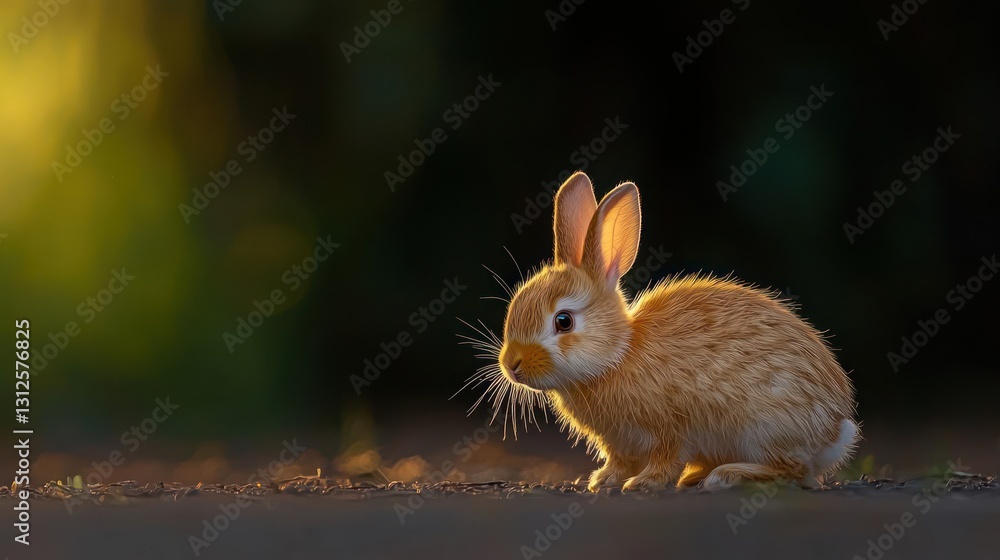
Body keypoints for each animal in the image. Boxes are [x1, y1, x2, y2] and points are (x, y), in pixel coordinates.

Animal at [489, 171, 858, 491]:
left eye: (563, 321)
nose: (512, 365)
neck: (617, 357)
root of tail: (835, 431)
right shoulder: (619, 442)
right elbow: (619, 461)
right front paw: (602, 480)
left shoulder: (671, 425)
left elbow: (666, 457)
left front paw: (643, 483)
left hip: (763, 428)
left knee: (796, 471)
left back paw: (725, 476)